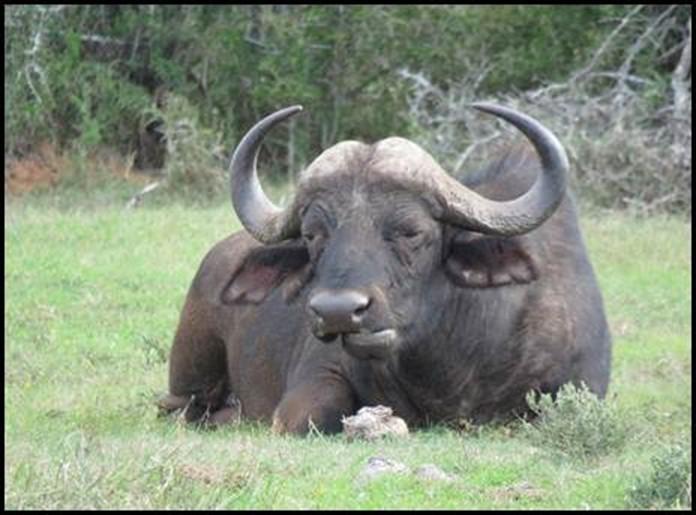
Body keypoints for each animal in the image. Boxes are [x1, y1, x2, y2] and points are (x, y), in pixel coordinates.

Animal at [158, 103, 611, 434]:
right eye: (312, 233)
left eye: (411, 231)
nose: (338, 312)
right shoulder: (315, 378)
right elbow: (306, 417)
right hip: (189, 378)